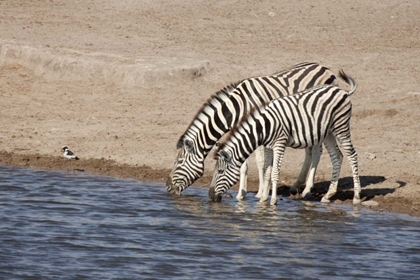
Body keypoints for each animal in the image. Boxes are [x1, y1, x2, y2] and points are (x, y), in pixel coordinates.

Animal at [165, 62, 338, 200]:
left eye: (178, 162)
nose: (167, 187)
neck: (238, 107)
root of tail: (323, 67)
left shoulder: (260, 129)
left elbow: (261, 162)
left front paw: (260, 193)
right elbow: (243, 164)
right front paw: (242, 194)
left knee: (316, 151)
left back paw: (307, 189)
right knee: (309, 151)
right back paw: (296, 185)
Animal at [208, 70, 360, 206]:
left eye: (220, 171)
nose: (210, 196)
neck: (264, 126)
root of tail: (342, 91)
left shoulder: (279, 144)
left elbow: (275, 172)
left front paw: (273, 200)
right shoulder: (268, 147)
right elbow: (267, 171)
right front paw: (263, 199)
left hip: (341, 127)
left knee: (352, 155)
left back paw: (356, 197)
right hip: (328, 132)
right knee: (337, 157)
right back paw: (328, 195)